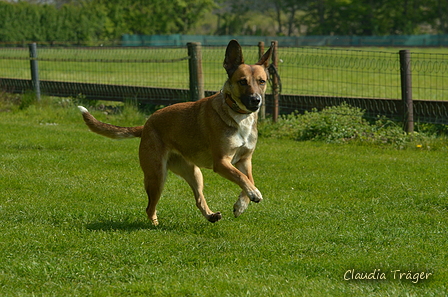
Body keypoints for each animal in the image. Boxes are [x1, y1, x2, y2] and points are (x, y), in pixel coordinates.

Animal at [78, 40, 272, 224]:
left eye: (262, 81)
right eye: (242, 81)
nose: (256, 100)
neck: (237, 114)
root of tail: (146, 124)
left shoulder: (245, 160)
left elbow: (248, 178)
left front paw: (242, 204)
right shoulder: (221, 162)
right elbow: (241, 177)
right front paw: (254, 194)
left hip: (194, 173)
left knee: (198, 199)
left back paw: (211, 216)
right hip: (157, 175)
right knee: (150, 207)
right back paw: (155, 225)